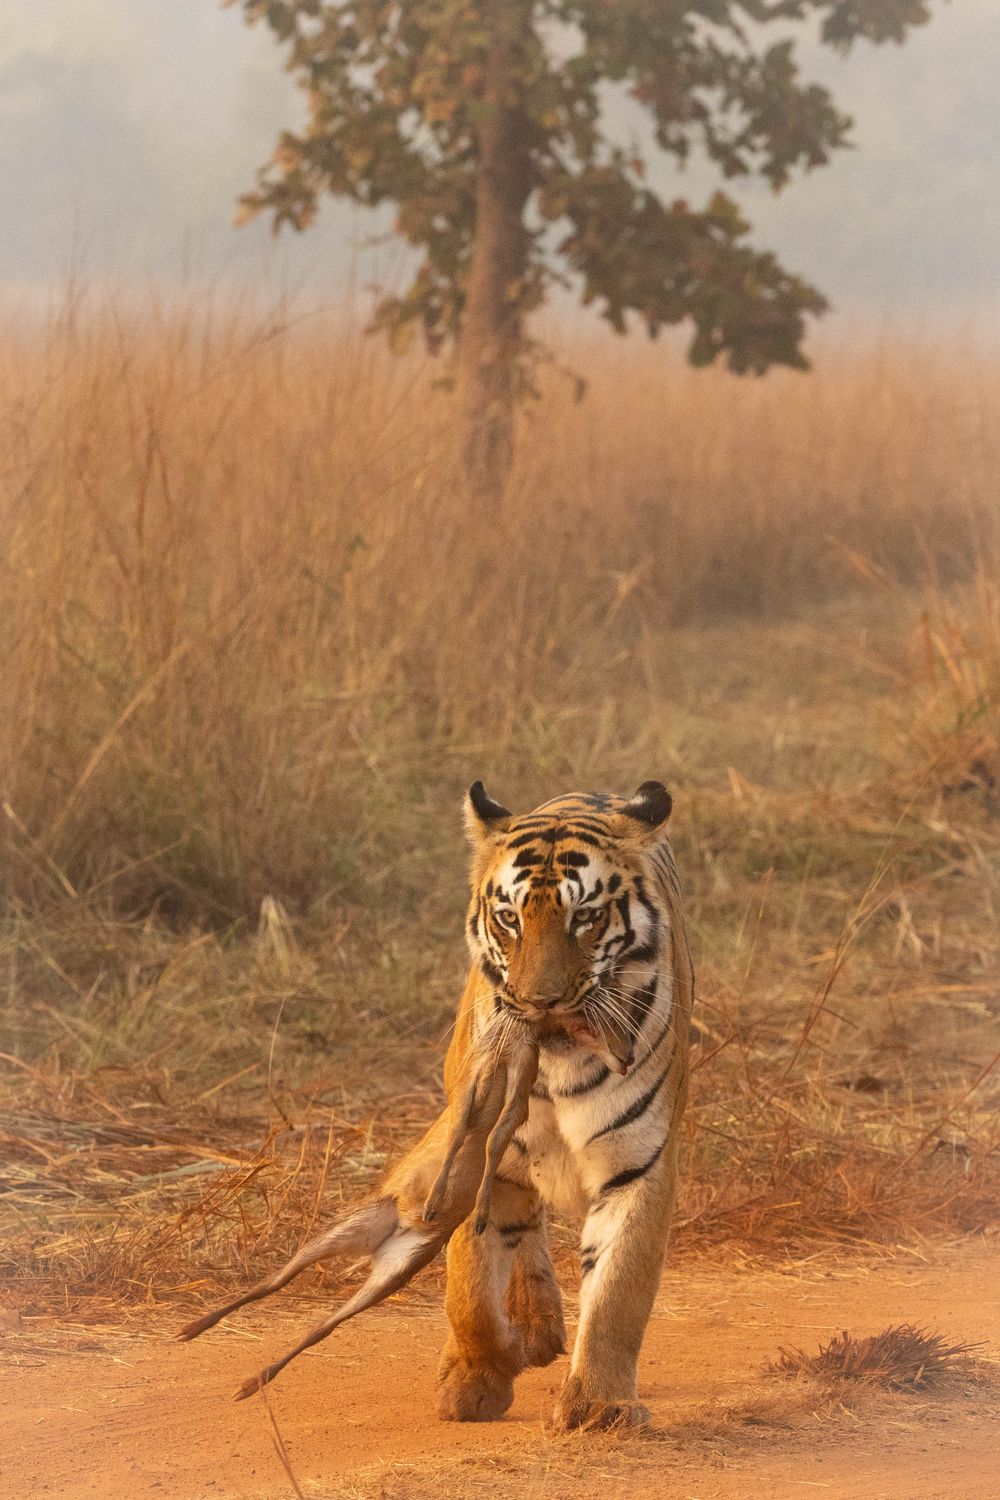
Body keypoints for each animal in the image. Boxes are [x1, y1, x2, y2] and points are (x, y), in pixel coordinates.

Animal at [436, 777, 694, 1431]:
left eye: (587, 917)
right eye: (510, 919)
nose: (539, 1002)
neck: (556, 1067)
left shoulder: (638, 1164)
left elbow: (617, 1293)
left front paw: (600, 1404)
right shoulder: (475, 1151)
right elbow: (469, 1288)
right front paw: (478, 1377)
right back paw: (530, 1328)